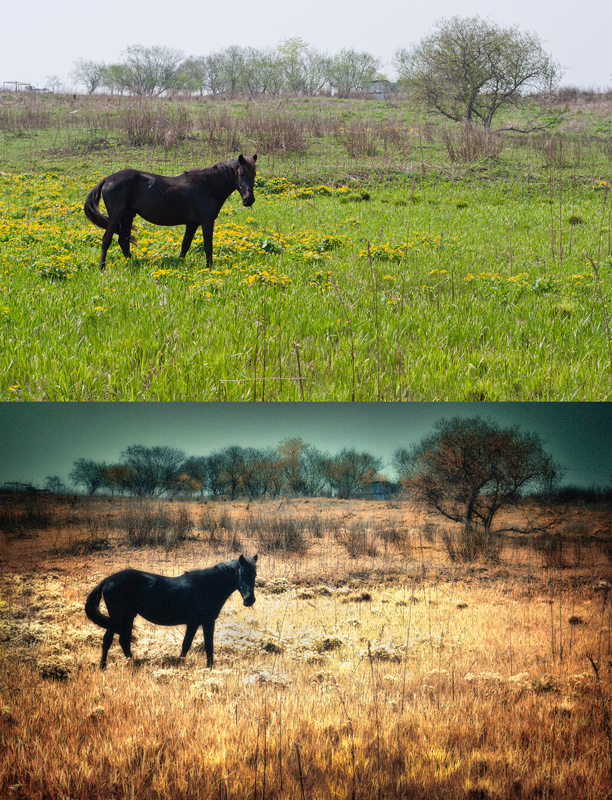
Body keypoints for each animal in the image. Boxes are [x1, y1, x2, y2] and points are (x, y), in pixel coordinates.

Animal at [83, 155, 256, 270]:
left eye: (254, 175)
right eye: (241, 174)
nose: (249, 200)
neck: (206, 186)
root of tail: (107, 179)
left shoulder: (192, 223)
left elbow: (185, 245)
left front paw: (180, 264)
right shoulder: (207, 221)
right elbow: (208, 246)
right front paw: (209, 268)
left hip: (127, 216)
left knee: (123, 242)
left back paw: (131, 264)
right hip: (116, 217)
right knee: (107, 240)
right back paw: (102, 268)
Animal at [83, 552, 256, 664]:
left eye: (254, 574)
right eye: (241, 573)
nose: (250, 600)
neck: (207, 586)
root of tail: (107, 580)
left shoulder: (194, 623)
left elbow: (186, 644)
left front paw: (180, 664)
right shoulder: (207, 621)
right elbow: (209, 646)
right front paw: (209, 668)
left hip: (128, 616)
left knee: (123, 640)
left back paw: (132, 662)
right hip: (117, 617)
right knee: (108, 640)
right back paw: (103, 667)